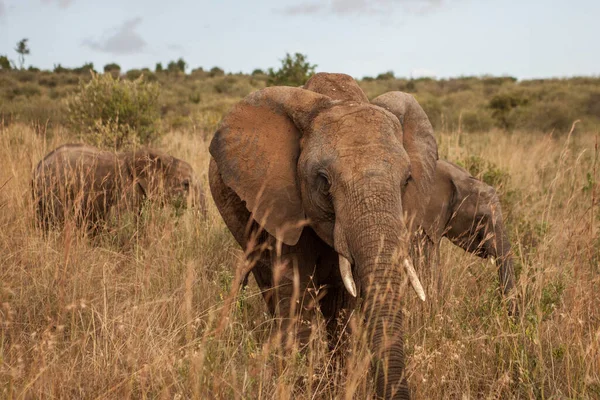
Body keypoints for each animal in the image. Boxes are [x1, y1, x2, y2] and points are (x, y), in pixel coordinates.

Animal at [209, 72, 438, 400]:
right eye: (324, 181)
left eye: (407, 181)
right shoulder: (283, 203)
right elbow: (295, 291)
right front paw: (301, 387)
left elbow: (341, 302)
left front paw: (334, 387)